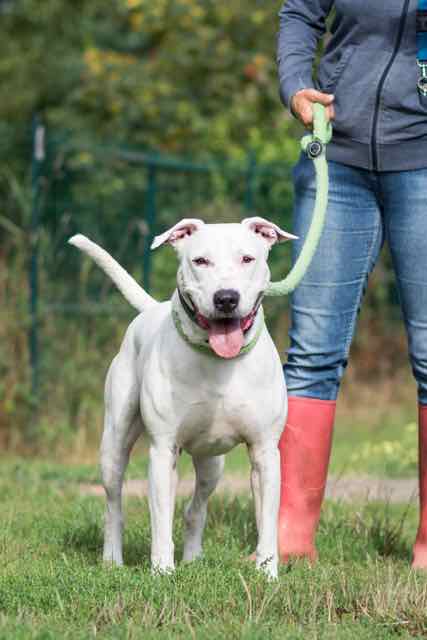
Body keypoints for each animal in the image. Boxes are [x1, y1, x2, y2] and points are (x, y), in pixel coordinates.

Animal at [70, 216, 298, 580]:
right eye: (200, 261)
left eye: (247, 259)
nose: (226, 298)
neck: (218, 362)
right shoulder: (163, 450)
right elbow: (161, 521)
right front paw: (163, 572)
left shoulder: (264, 451)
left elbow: (267, 521)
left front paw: (267, 573)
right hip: (113, 445)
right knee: (113, 503)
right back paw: (112, 559)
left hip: (212, 464)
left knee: (196, 507)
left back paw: (193, 558)